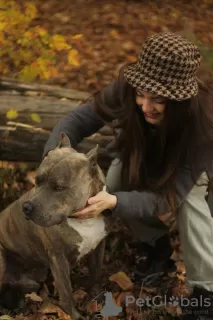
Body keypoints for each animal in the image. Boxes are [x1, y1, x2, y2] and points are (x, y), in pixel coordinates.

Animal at [0, 132, 115, 318]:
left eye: (59, 187)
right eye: (37, 180)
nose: (27, 207)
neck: (82, 220)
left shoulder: (99, 245)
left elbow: (96, 273)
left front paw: (97, 298)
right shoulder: (58, 257)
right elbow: (67, 293)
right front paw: (74, 315)